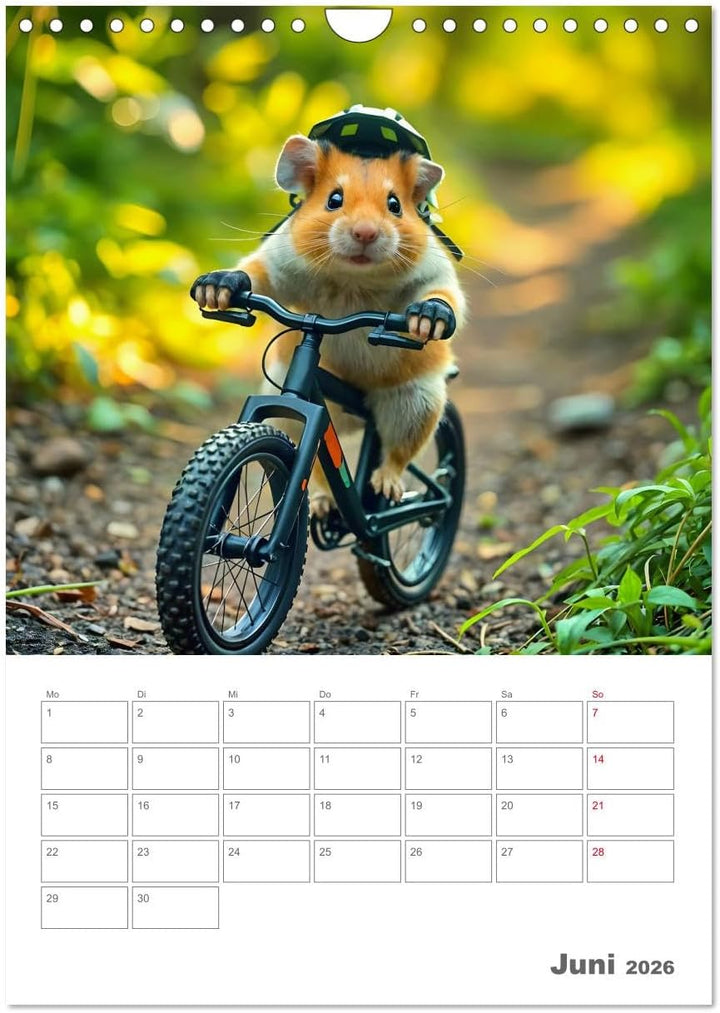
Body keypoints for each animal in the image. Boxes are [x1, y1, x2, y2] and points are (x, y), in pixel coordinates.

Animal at [191, 134, 466, 509]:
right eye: (334, 199)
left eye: (395, 204)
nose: (365, 233)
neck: (352, 280)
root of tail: (358, 414)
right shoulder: (280, 262)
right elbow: (257, 275)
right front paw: (219, 286)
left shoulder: (432, 267)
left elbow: (444, 292)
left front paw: (430, 316)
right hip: (291, 403)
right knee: (321, 468)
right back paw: (322, 502)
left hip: (415, 402)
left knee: (398, 453)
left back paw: (388, 485)